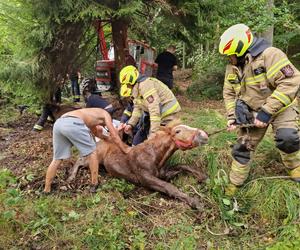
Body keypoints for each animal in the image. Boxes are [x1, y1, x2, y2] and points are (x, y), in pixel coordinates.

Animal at [67, 121, 209, 209]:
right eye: (178, 131)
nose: (204, 135)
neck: (154, 155)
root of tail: (102, 139)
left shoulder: (163, 173)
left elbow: (182, 166)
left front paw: (202, 176)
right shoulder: (145, 178)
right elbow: (169, 187)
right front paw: (195, 202)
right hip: (95, 158)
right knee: (80, 160)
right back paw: (72, 177)